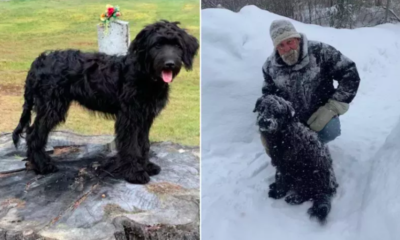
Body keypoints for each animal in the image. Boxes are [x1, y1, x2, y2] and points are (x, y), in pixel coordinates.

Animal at [12, 20, 200, 184]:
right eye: (157, 45)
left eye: (177, 45)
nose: (170, 64)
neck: (144, 74)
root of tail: (38, 62)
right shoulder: (129, 118)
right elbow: (131, 146)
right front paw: (135, 173)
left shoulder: (144, 117)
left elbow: (144, 143)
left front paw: (146, 166)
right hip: (51, 107)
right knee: (33, 134)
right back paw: (43, 165)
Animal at [253, 94, 338, 224]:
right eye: (262, 108)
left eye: (277, 112)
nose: (264, 122)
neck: (282, 134)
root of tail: (327, 189)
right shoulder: (279, 164)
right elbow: (278, 176)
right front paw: (276, 186)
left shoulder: (286, 164)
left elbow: (281, 178)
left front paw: (278, 192)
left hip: (306, 175)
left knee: (308, 193)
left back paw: (295, 198)